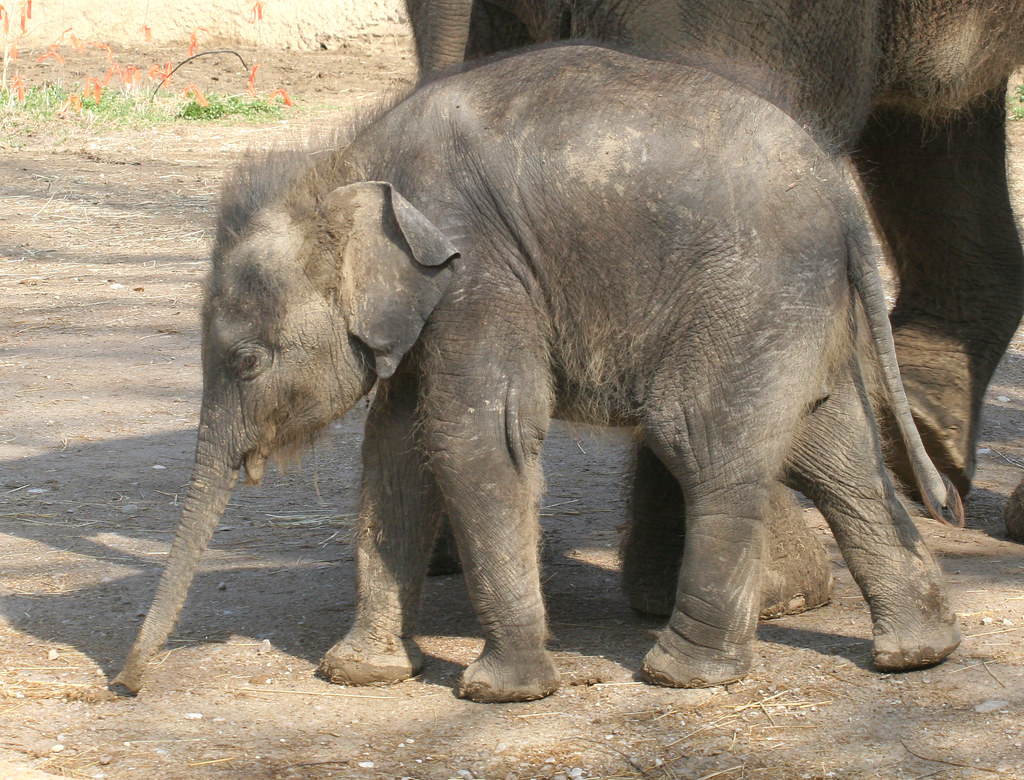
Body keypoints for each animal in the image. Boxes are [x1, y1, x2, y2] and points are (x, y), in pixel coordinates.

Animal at [111, 44, 963, 702]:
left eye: (245, 359)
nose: (125, 685)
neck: (344, 170)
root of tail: (843, 197)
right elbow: (396, 450)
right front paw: (360, 675)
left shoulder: (480, 273)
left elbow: (473, 442)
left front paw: (499, 692)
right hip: (794, 309)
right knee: (834, 451)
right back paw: (920, 652)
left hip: (748, 292)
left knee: (701, 439)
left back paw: (681, 675)